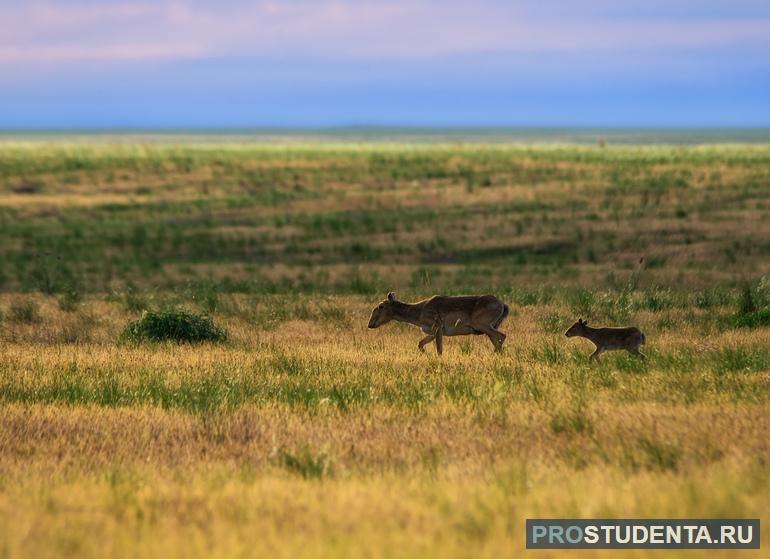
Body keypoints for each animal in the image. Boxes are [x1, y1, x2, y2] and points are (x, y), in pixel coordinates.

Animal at [368, 294, 508, 354]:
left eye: (381, 306)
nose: (370, 324)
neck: (418, 313)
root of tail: (503, 305)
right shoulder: (431, 332)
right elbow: (420, 344)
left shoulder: (437, 327)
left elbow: (439, 349)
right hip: (487, 329)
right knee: (498, 341)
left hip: (483, 326)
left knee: (502, 336)